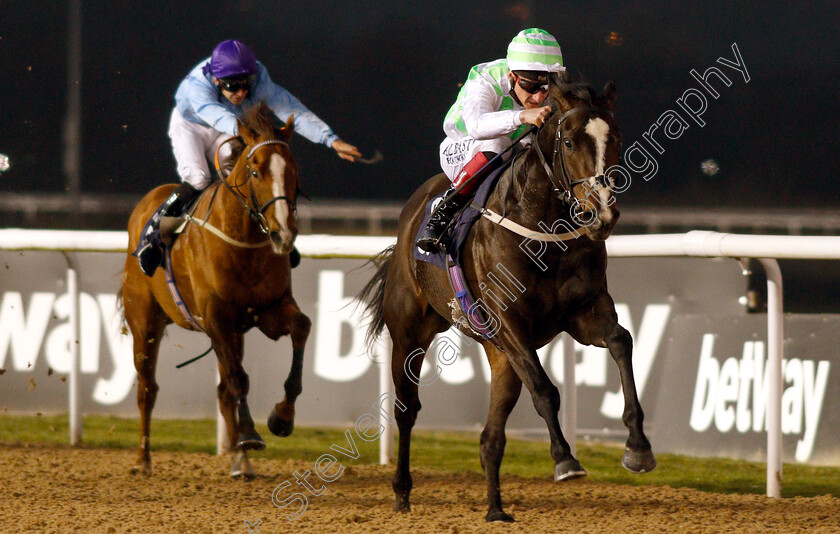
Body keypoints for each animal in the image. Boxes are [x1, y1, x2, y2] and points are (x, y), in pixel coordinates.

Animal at [120, 102, 312, 480]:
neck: (244, 244)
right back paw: (142, 459)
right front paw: (251, 435)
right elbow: (238, 379)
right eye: (256, 171)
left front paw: (281, 418)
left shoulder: (268, 310)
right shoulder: (216, 317)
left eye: (293, 170)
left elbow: (301, 326)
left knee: (223, 391)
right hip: (144, 320)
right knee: (147, 388)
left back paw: (241, 462)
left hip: (233, 331)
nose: (284, 234)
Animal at [360, 82, 656, 524]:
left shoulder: (585, 312)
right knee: (406, 409)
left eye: (616, 139)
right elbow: (546, 389)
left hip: (499, 354)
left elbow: (622, 342)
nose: (601, 214)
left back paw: (496, 509)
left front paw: (637, 447)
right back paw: (402, 491)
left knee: (491, 437)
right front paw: (565, 460)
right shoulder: (509, 322)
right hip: (411, 331)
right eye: (569, 141)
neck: (543, 228)